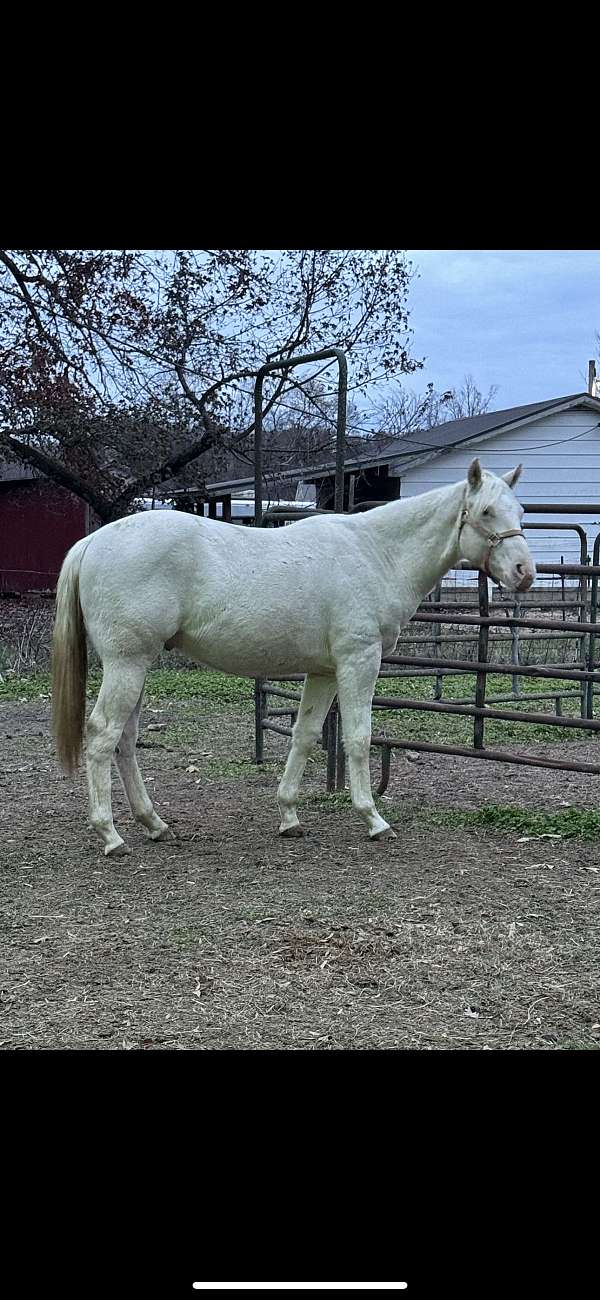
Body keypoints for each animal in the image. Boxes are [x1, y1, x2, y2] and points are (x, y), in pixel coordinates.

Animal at [51, 457, 535, 852]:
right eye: (486, 511)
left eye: (520, 512)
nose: (525, 573)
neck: (375, 553)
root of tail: (93, 543)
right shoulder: (359, 662)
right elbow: (357, 737)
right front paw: (374, 819)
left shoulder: (324, 672)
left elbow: (304, 736)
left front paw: (289, 816)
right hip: (127, 663)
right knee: (103, 734)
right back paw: (110, 835)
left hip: (136, 666)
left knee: (126, 740)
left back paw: (154, 824)